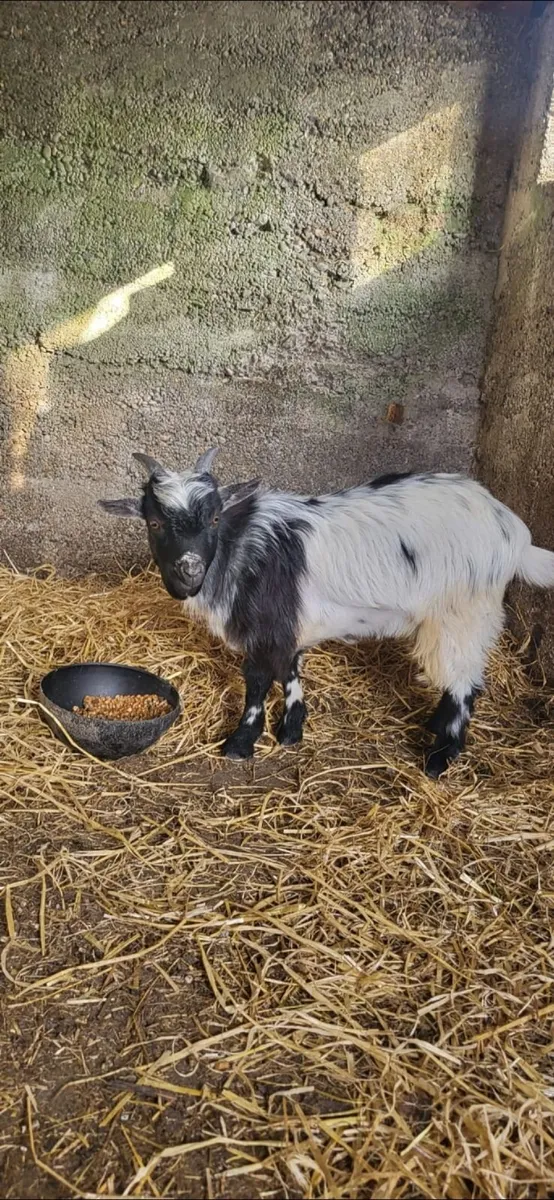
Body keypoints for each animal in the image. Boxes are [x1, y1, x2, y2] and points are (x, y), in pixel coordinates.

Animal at [99, 448, 554, 777]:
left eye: (213, 517)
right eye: (154, 523)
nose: (189, 568)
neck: (239, 549)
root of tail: (512, 531)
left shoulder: (267, 627)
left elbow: (257, 682)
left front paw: (241, 743)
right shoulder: (289, 624)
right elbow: (291, 670)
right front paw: (291, 730)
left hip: (463, 613)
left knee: (465, 682)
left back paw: (440, 757)